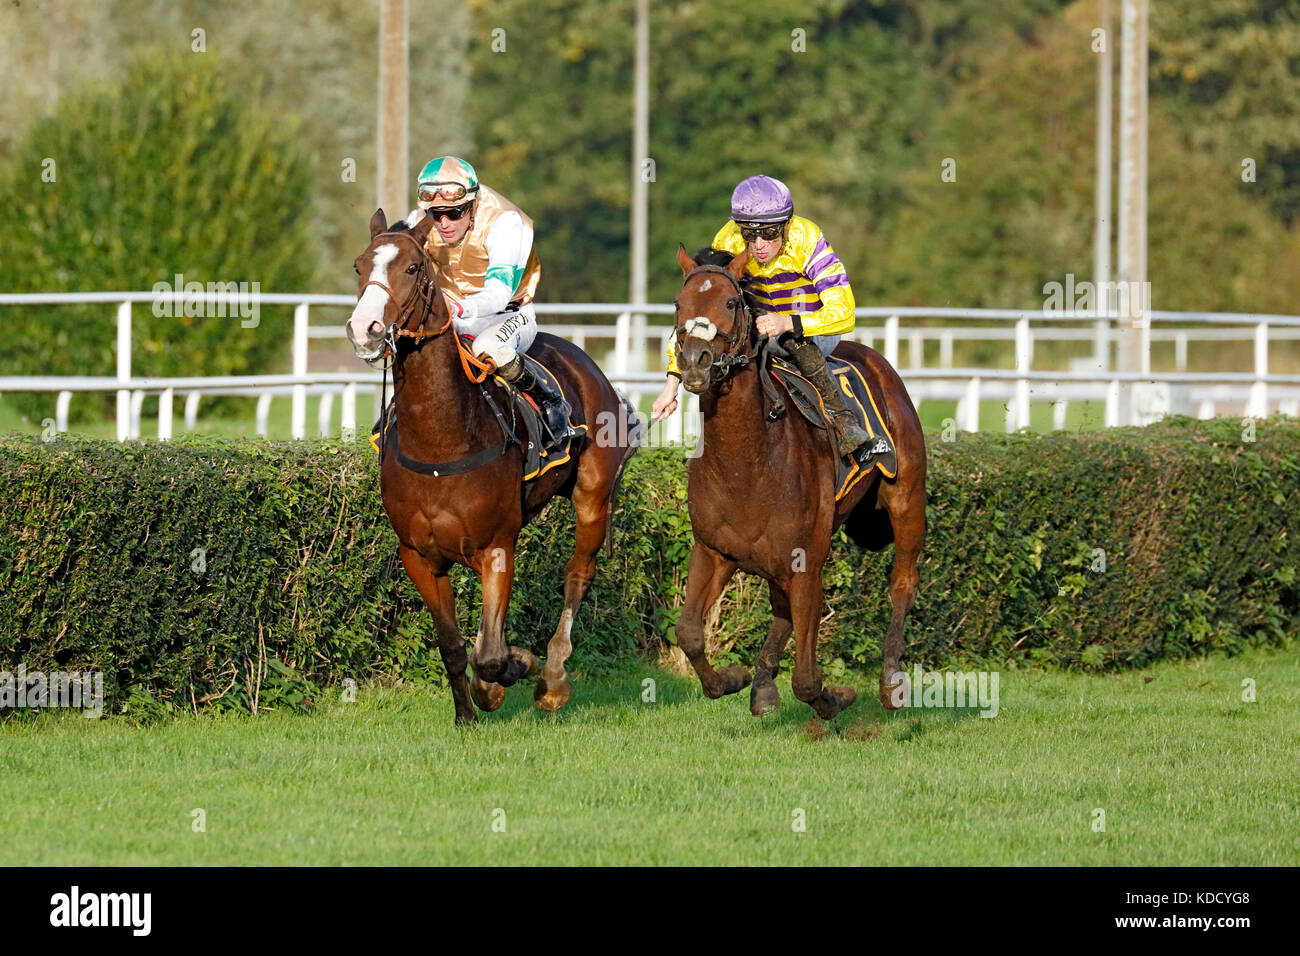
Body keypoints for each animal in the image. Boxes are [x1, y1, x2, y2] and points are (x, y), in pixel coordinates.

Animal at [343, 209, 631, 723]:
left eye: (413, 268)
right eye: (359, 266)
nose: (365, 328)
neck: (441, 443)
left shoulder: (497, 545)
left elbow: (493, 657)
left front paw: (514, 669)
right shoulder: (419, 555)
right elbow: (455, 646)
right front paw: (467, 713)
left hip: (592, 498)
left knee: (578, 575)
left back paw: (552, 677)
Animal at [670, 244, 925, 717]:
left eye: (730, 303)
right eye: (679, 304)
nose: (694, 362)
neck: (747, 464)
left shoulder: (806, 562)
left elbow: (807, 680)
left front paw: (837, 697)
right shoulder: (714, 550)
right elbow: (690, 633)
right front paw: (734, 678)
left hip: (907, 499)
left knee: (903, 583)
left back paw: (890, 680)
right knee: (780, 609)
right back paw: (762, 684)